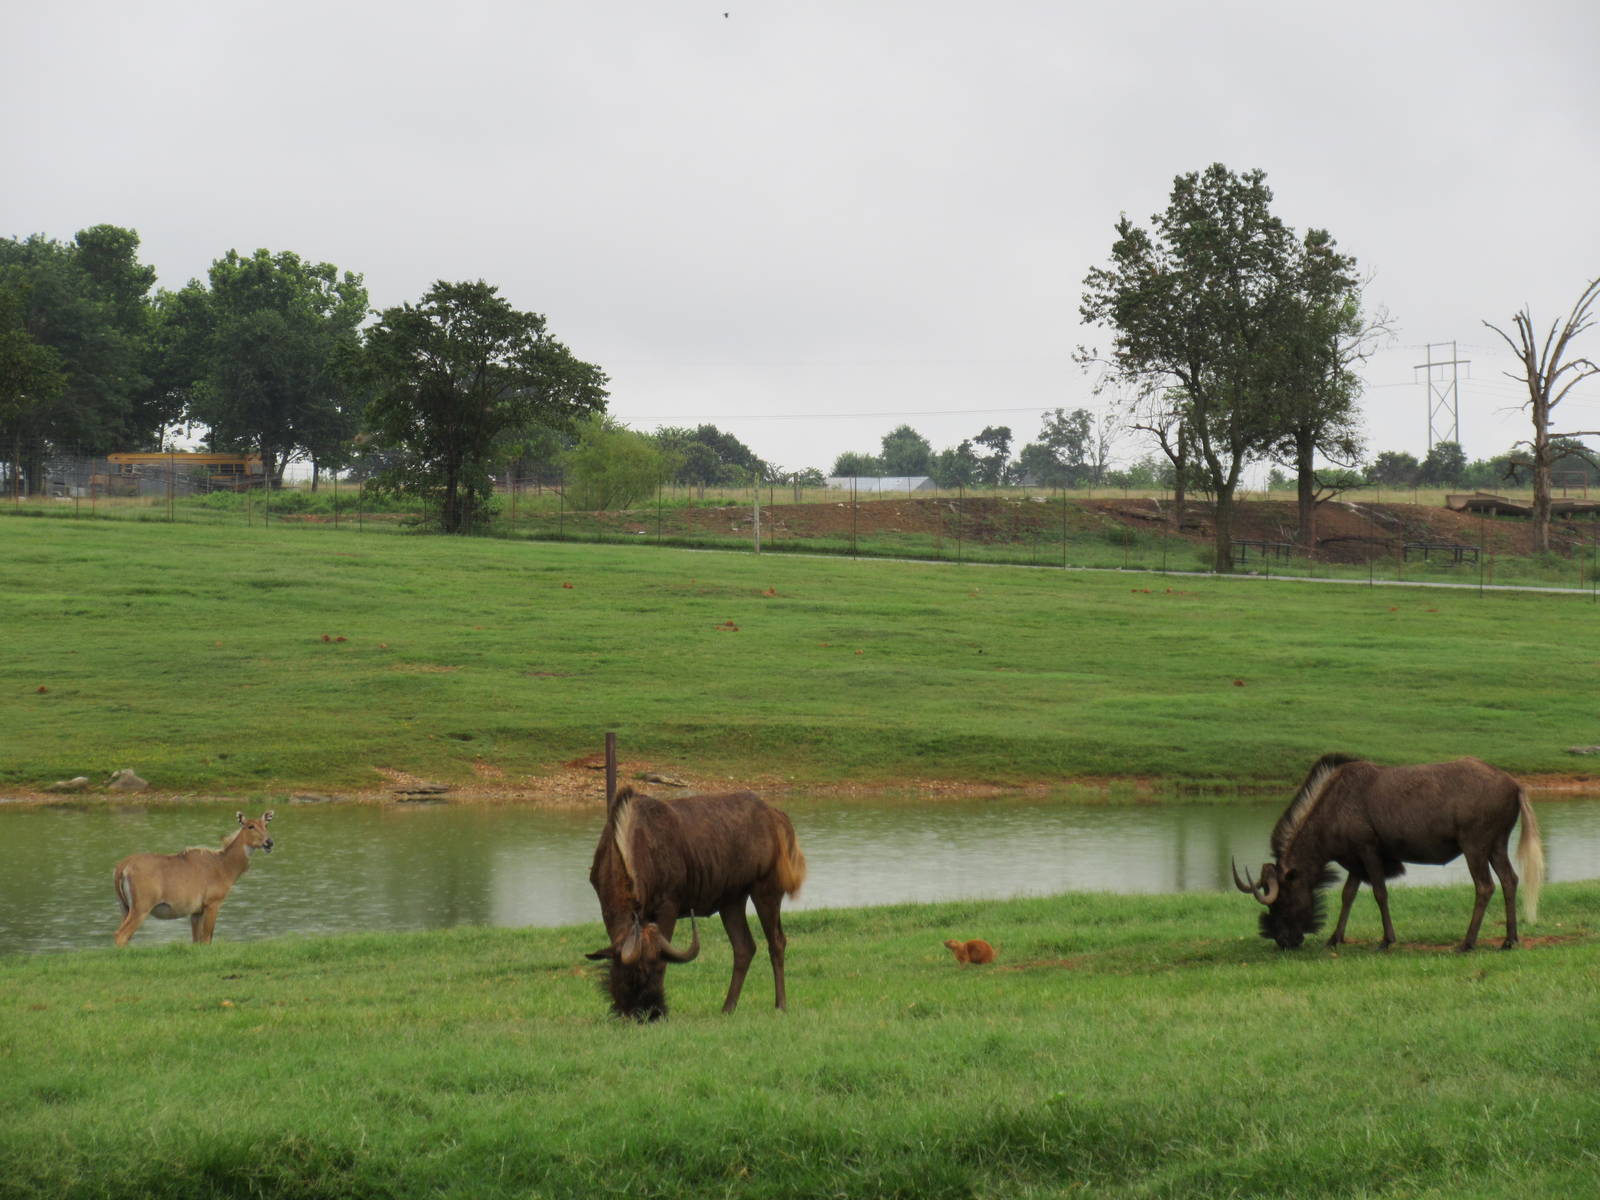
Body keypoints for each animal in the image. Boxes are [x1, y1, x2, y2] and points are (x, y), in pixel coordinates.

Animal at [113, 811, 276, 946]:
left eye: (266, 825)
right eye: (250, 826)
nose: (269, 842)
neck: (224, 865)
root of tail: (122, 868)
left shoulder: (196, 911)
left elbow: (196, 941)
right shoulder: (212, 903)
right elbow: (207, 939)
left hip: (124, 906)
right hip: (141, 907)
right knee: (121, 934)